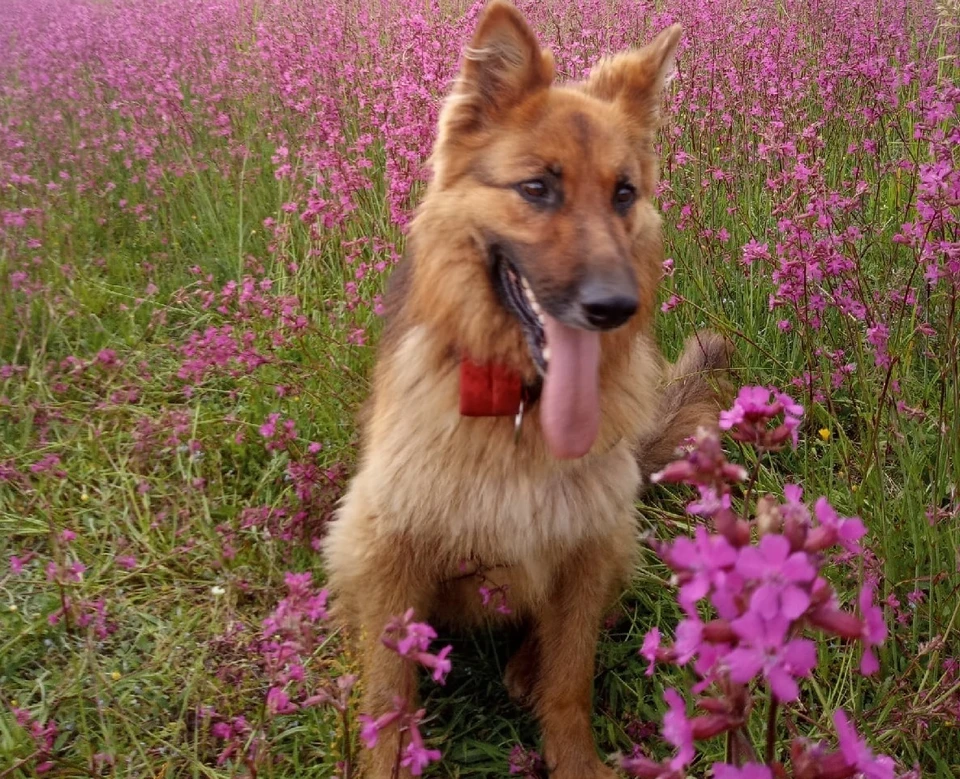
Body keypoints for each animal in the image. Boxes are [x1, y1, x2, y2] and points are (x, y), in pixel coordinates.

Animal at [318, 3, 732, 776]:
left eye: (624, 193)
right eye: (538, 188)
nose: (613, 307)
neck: (520, 411)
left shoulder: (584, 551)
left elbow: (570, 682)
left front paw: (574, 758)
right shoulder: (389, 553)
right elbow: (389, 697)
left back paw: (524, 665)